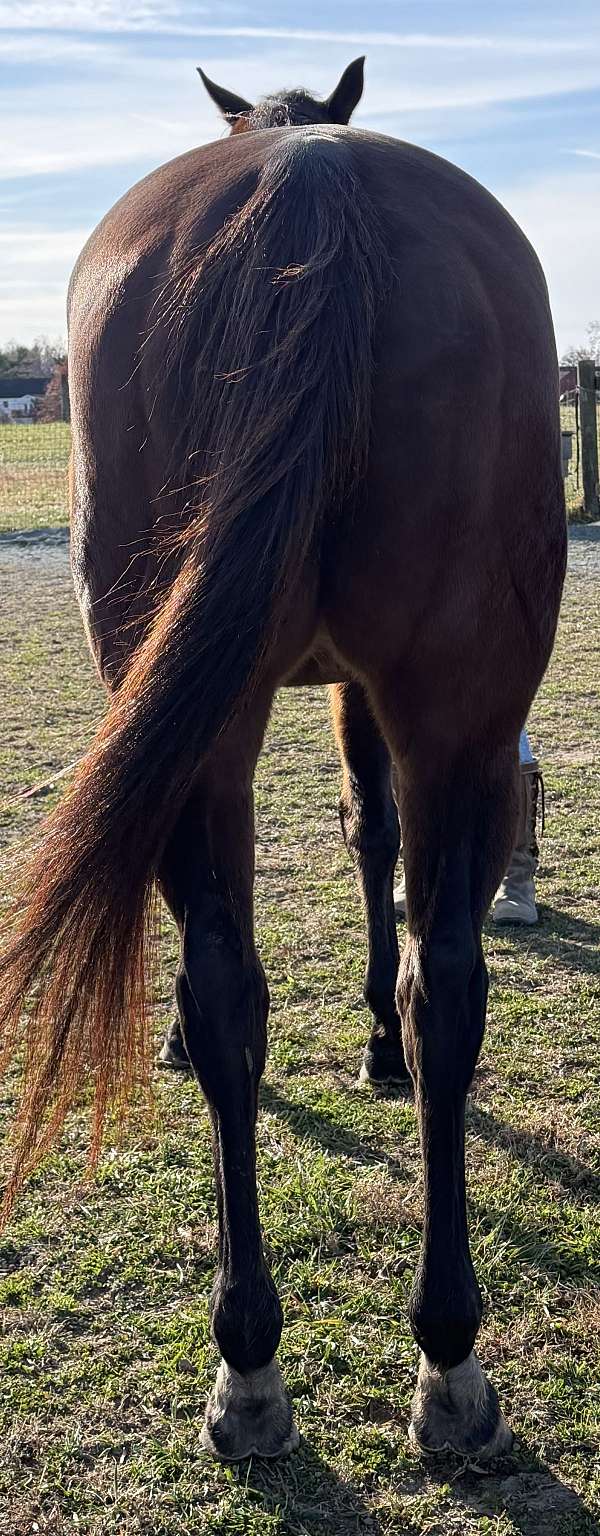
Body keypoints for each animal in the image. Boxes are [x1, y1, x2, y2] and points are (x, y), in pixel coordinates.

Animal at [0, 59, 566, 1463]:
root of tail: (311, 185)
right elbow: (373, 838)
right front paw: (370, 1043)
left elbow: (361, 837)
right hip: (455, 711)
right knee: (427, 982)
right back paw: (426, 1355)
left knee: (247, 982)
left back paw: (265, 1360)